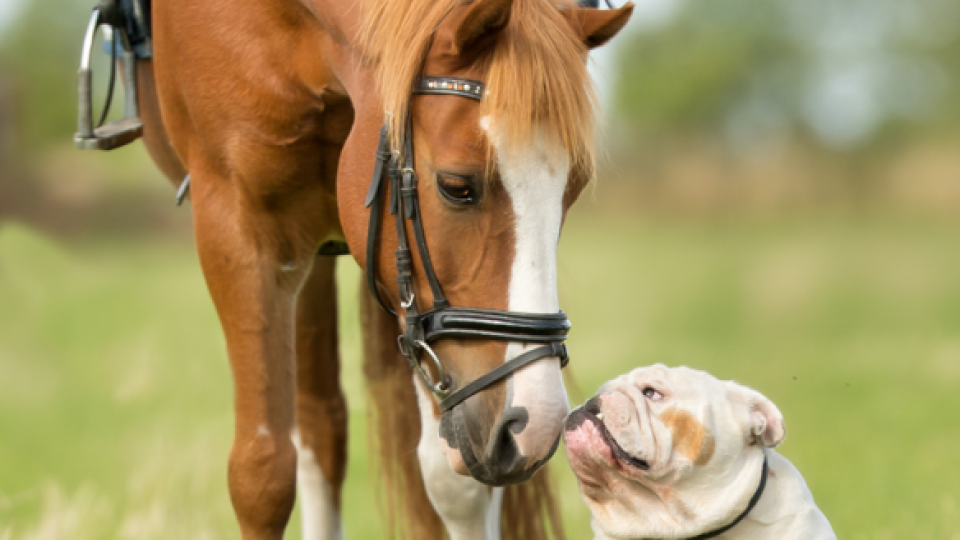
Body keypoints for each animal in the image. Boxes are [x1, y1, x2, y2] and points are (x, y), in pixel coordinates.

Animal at [135, 0, 632, 536]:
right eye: (457, 186)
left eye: (573, 189)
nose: (536, 425)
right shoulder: (237, 225)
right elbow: (261, 478)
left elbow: (457, 486)